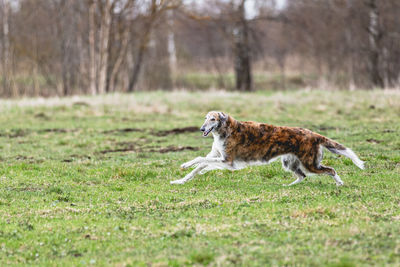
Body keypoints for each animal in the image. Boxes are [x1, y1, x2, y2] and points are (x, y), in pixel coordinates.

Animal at [170, 111, 364, 186]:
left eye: (213, 119)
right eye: (205, 118)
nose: (201, 129)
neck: (225, 129)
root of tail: (313, 134)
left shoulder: (227, 161)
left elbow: (199, 160)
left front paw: (186, 165)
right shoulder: (218, 156)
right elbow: (198, 167)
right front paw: (179, 180)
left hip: (310, 164)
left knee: (330, 170)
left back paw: (339, 183)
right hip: (290, 162)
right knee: (302, 176)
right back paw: (288, 186)